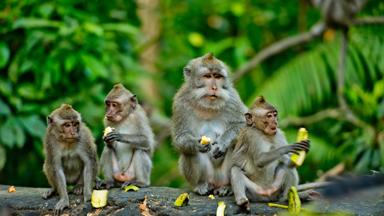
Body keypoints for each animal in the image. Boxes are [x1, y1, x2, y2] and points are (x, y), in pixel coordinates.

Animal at [171, 52, 246, 196]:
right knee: (188, 152)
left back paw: (228, 186)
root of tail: (217, 182)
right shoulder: (180, 103)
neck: (207, 106)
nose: (214, 88)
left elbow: (244, 125)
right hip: (208, 176)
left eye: (217, 77)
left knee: (237, 144)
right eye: (207, 76)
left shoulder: (233, 99)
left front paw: (223, 142)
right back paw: (201, 185)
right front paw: (196, 144)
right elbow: (180, 137)